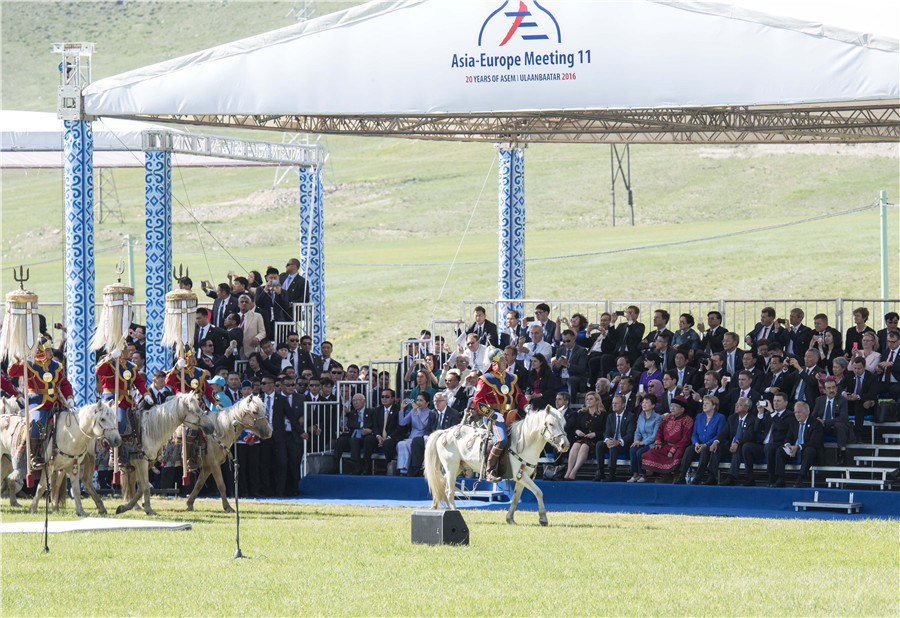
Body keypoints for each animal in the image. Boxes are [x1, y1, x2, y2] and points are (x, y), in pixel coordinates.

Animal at [424, 404, 568, 524]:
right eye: (551, 424)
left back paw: (434, 506)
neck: (524, 443)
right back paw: (455, 513)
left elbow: (516, 498)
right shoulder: (520, 475)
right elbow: (538, 492)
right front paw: (543, 518)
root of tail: (445, 432)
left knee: (440, 484)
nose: (565, 445)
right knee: (448, 490)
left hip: (458, 467)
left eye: (564, 423)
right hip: (451, 467)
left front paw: (510, 518)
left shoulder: (522, 476)